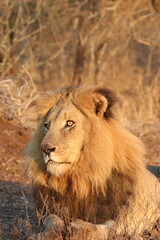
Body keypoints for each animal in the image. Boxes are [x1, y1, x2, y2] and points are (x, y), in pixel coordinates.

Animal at [24, 85, 159, 237]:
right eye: (47, 125)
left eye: (69, 123)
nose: (45, 149)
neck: (78, 179)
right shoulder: (49, 209)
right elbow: (51, 219)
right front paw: (44, 234)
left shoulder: (128, 215)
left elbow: (110, 227)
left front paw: (79, 228)